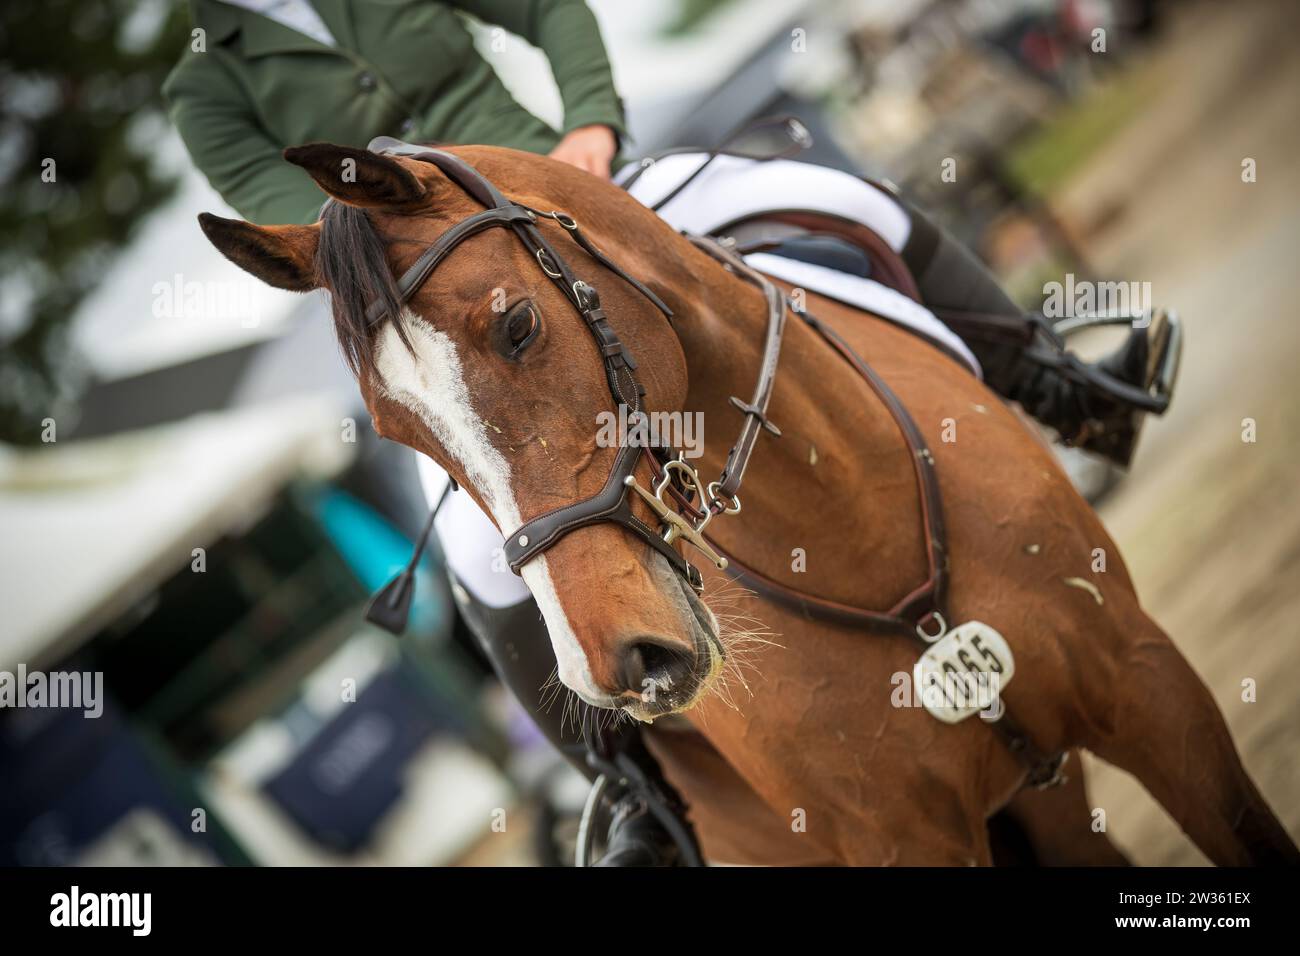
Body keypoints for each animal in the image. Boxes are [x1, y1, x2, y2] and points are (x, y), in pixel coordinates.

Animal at [197, 141, 1294, 868]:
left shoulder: (1151, 688)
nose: (622, 663)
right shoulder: (898, 839)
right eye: (401, 433)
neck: (860, 533)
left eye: (515, 326)